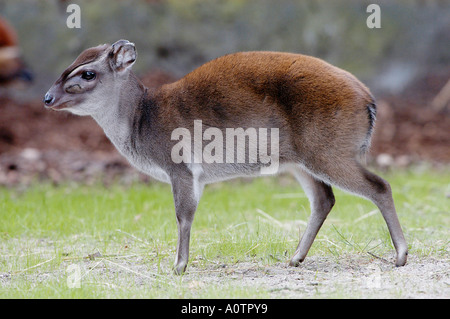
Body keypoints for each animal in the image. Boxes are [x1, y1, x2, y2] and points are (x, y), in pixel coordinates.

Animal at [43, 40, 408, 276]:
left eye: (87, 73)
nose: (47, 98)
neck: (142, 122)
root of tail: (369, 101)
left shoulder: (180, 165)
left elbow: (183, 215)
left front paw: (178, 266)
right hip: (300, 160)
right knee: (324, 199)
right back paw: (294, 258)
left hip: (330, 150)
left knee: (379, 185)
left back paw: (401, 255)